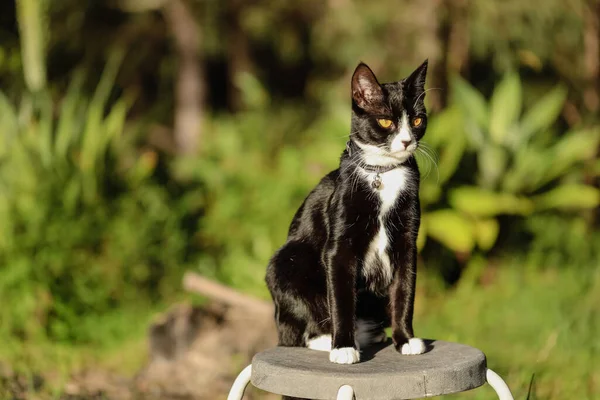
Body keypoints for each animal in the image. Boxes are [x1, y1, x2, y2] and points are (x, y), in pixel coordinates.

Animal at [264, 60, 428, 368]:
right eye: (386, 121)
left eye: (416, 121)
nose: (406, 141)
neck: (382, 174)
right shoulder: (339, 245)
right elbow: (340, 297)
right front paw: (343, 346)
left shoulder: (407, 241)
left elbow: (405, 290)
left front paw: (405, 339)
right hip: (285, 266)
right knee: (295, 331)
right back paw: (326, 338)